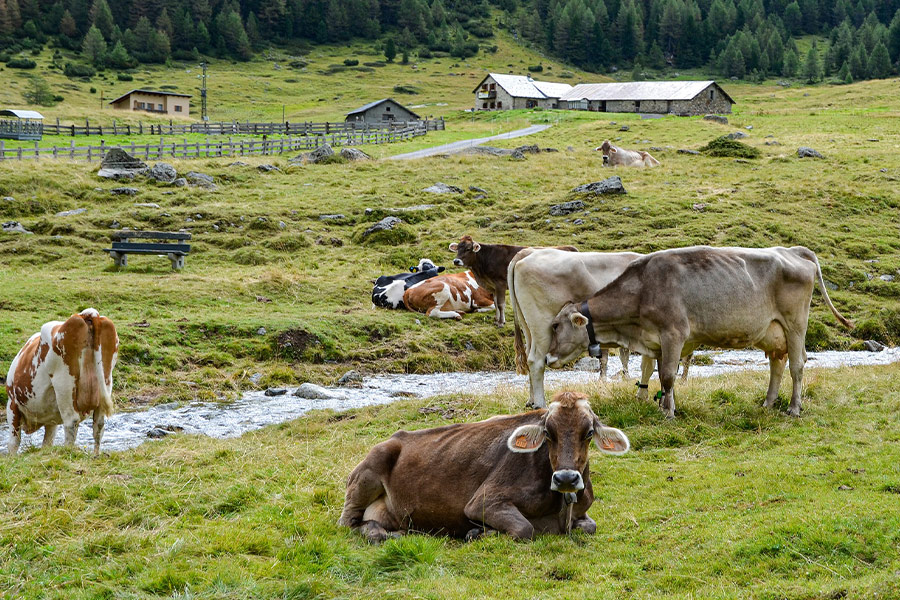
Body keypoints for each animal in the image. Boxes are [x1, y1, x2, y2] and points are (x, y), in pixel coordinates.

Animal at [5, 308, 119, 456]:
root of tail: (87, 313)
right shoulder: (51, 420)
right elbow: (47, 442)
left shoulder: (12, 404)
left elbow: (14, 442)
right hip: (106, 381)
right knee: (98, 425)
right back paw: (96, 454)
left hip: (64, 383)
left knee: (71, 421)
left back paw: (68, 450)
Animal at [338, 390, 629, 542]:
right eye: (548, 433)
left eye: (589, 433)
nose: (566, 479)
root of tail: (394, 437)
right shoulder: (484, 501)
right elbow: (525, 529)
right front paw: (477, 532)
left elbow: (590, 526)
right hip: (370, 469)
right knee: (348, 522)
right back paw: (379, 533)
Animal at [449, 235, 577, 327]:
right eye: (458, 248)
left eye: (468, 249)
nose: (456, 261)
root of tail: (571, 248)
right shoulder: (493, 286)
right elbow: (495, 302)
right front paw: (497, 320)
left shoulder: (500, 284)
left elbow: (500, 304)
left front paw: (501, 323)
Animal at [545, 246, 853, 418]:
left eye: (556, 325)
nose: (547, 358)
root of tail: (793, 251)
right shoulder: (658, 341)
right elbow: (661, 375)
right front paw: (664, 406)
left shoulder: (674, 334)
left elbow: (669, 376)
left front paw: (668, 413)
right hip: (772, 331)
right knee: (777, 364)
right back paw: (767, 403)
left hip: (795, 324)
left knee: (797, 366)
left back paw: (794, 408)